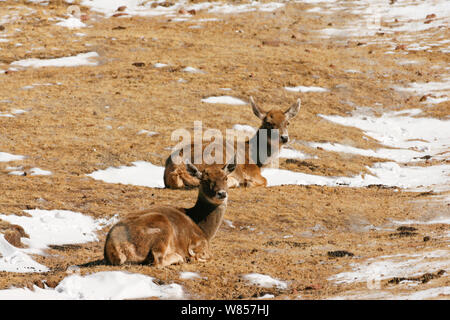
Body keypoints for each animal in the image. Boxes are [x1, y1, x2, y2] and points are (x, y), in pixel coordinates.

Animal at [102, 160, 236, 268]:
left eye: (225, 178)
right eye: (205, 180)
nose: (222, 193)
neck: (204, 230)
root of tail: (114, 247)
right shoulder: (200, 242)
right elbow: (208, 255)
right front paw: (192, 256)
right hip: (161, 227)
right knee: (157, 260)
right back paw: (180, 257)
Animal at [163, 96, 300, 189]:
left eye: (287, 123)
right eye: (268, 123)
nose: (284, 138)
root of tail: (176, 169)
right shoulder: (251, 170)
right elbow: (265, 180)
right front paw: (248, 183)